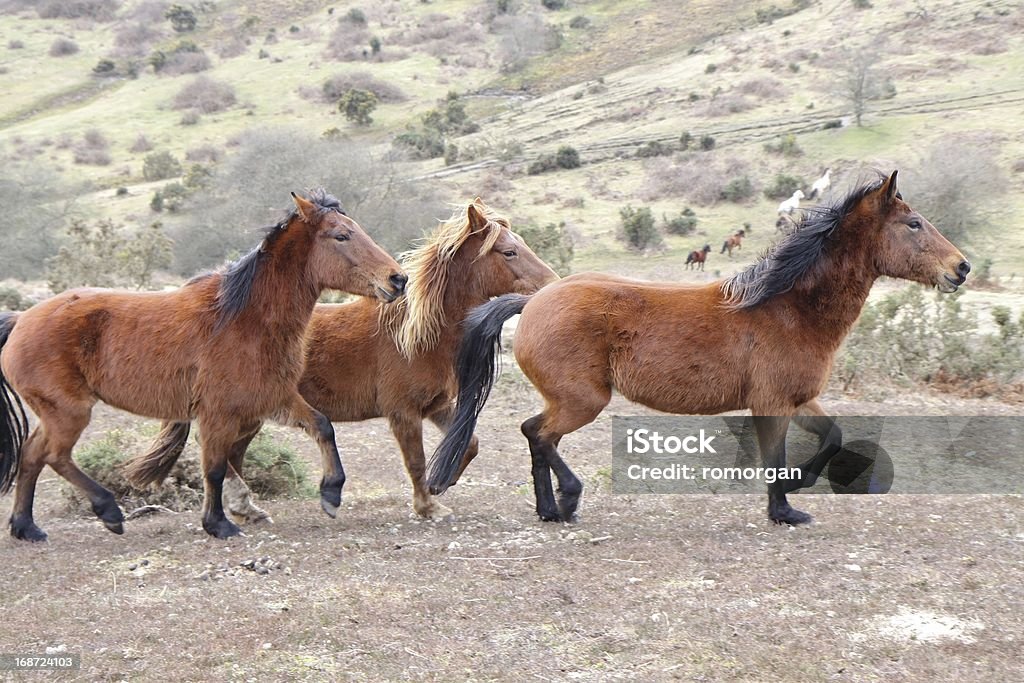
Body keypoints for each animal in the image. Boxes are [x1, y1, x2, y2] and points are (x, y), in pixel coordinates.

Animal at [125, 200, 561, 520]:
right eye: (508, 251)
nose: (553, 288)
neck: (416, 331)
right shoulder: (403, 413)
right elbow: (416, 461)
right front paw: (428, 506)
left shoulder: (436, 405)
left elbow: (469, 443)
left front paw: (443, 483)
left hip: (253, 413)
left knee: (231, 453)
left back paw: (246, 508)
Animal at [423, 174, 966, 528]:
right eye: (914, 224)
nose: (961, 268)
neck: (787, 307)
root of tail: (532, 300)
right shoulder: (771, 404)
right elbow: (776, 458)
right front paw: (785, 509)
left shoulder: (798, 400)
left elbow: (831, 436)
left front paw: (796, 491)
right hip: (582, 400)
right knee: (537, 434)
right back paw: (567, 500)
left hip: (570, 399)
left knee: (537, 438)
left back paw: (550, 511)